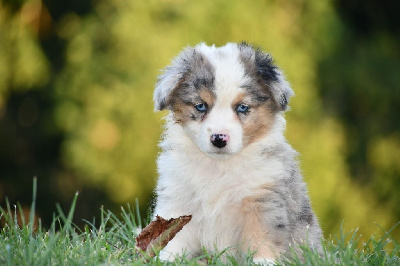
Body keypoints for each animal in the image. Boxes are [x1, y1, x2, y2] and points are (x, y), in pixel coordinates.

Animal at [152, 42, 324, 262]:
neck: (218, 166)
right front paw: (165, 259)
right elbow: (173, 236)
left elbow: (263, 237)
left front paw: (263, 262)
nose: (219, 138)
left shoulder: (262, 200)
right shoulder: (178, 199)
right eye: (201, 106)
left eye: (242, 107)